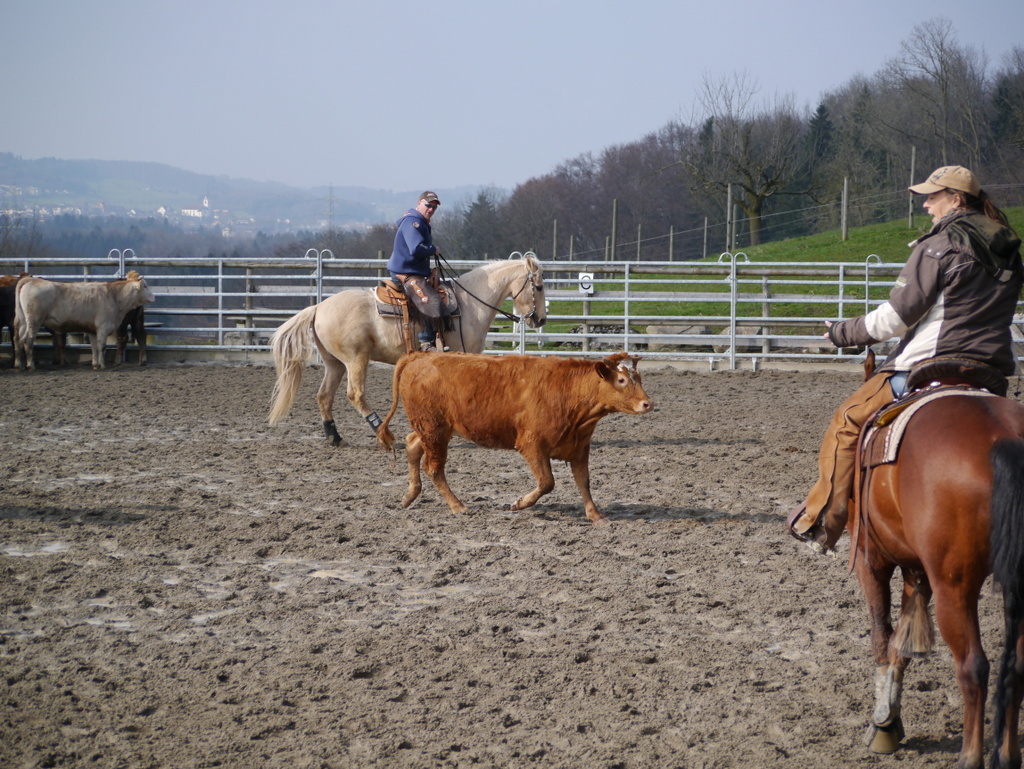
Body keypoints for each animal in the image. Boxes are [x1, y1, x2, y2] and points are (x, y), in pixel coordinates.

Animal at [14, 271, 156, 371]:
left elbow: (94, 347)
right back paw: (31, 365)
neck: (114, 296)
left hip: (24, 322)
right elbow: (101, 346)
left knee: (18, 339)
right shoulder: (103, 327)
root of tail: (31, 280)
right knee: (28, 340)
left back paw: (20, 365)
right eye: (145, 285)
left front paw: (95, 364)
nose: (154, 297)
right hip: (34, 322)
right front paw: (103, 365)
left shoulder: (92, 329)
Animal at [268, 254, 547, 446]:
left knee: (324, 395)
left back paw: (334, 437)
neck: (470, 304)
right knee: (355, 394)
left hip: (334, 363)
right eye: (539, 287)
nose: (541, 319)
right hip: (356, 359)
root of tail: (318, 307)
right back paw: (382, 432)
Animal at [377, 351, 653, 525]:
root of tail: (419, 356)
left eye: (638, 378)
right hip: (434, 430)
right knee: (434, 468)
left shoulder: (579, 447)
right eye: (621, 379)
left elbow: (584, 482)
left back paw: (410, 494)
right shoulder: (532, 445)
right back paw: (458, 506)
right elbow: (547, 482)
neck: (569, 393)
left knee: (412, 444)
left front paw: (596, 515)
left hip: (431, 429)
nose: (647, 404)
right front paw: (519, 504)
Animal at [849, 351, 1024, 769]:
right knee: (1016, 667)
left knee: (974, 666)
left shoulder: (871, 560)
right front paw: (889, 719)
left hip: (954, 587)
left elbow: (882, 636)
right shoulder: (919, 572)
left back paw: (970, 757)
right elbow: (900, 643)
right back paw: (1008, 755)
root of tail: (1005, 436)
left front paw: (882, 725)